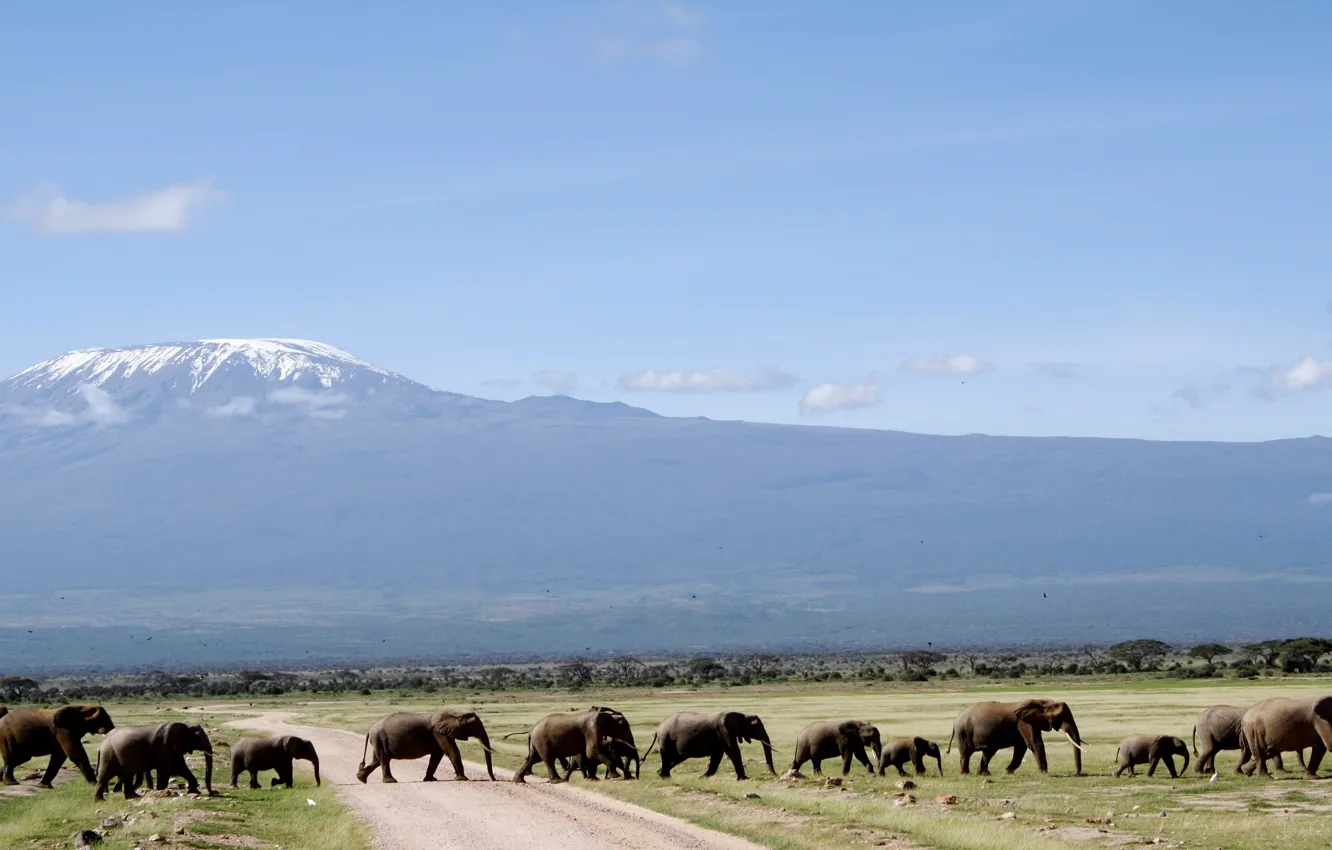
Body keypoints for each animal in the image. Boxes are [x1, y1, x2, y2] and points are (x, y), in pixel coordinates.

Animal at [356, 703, 498, 788]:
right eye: (472, 725)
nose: (493, 779)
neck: (455, 712)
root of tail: (370, 729)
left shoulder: (439, 734)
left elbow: (437, 755)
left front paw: (431, 779)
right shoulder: (438, 732)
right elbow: (451, 751)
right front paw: (463, 779)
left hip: (378, 740)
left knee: (377, 760)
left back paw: (361, 779)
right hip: (379, 738)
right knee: (384, 760)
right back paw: (390, 782)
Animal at [647, 708, 777, 783]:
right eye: (755, 727)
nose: (775, 775)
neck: (742, 714)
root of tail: (658, 729)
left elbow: (718, 755)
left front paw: (702, 778)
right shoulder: (723, 731)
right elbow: (733, 751)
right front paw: (744, 779)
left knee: (676, 757)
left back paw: (661, 774)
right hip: (666, 739)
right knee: (669, 756)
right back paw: (664, 776)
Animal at [948, 698, 1081, 778]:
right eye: (1060, 717)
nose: (1076, 774)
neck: (1041, 702)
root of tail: (956, 720)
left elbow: (1021, 748)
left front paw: (1007, 772)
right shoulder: (1024, 722)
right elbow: (1034, 743)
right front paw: (1045, 774)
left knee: (988, 753)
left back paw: (985, 774)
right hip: (963, 732)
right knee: (966, 753)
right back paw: (966, 774)